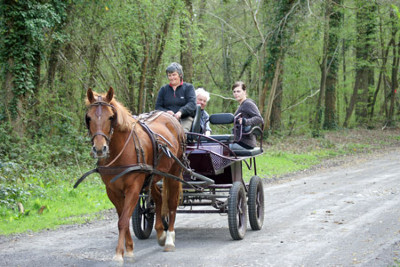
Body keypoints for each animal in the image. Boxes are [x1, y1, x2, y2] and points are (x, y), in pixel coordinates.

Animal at [84, 87, 186, 262]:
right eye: (88, 118)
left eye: (111, 117)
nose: (99, 149)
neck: (121, 150)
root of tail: (171, 118)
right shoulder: (112, 191)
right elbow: (122, 219)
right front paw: (129, 249)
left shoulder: (133, 187)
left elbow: (123, 220)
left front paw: (119, 254)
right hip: (152, 178)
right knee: (159, 199)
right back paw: (160, 232)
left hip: (173, 171)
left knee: (172, 203)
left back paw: (169, 240)